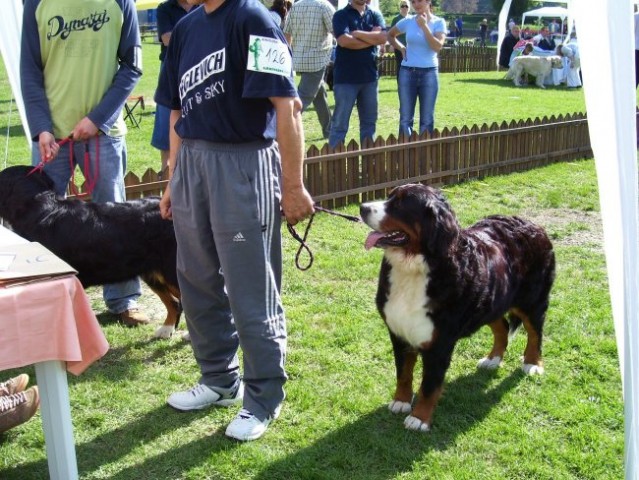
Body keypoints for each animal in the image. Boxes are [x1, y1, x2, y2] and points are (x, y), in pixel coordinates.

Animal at [360, 183, 556, 432]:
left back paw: (532, 363)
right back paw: (493, 359)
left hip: (532, 301)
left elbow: (429, 386)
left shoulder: (440, 342)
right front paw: (401, 401)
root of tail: (532, 224)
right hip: (492, 300)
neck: (415, 266)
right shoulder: (399, 331)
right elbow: (403, 373)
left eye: (400, 204)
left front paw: (419, 418)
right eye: (390, 196)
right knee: (502, 327)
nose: (362, 207)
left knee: (535, 333)